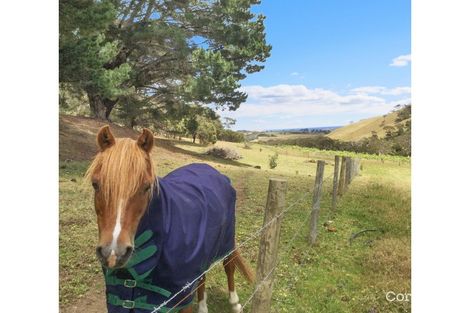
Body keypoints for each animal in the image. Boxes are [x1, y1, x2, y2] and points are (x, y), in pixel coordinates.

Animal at [84, 124, 253, 312]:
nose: (113, 253)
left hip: (227, 241)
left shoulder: (181, 297)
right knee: (202, 276)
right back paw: (202, 306)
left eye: (146, 187)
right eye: (95, 184)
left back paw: (235, 302)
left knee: (229, 265)